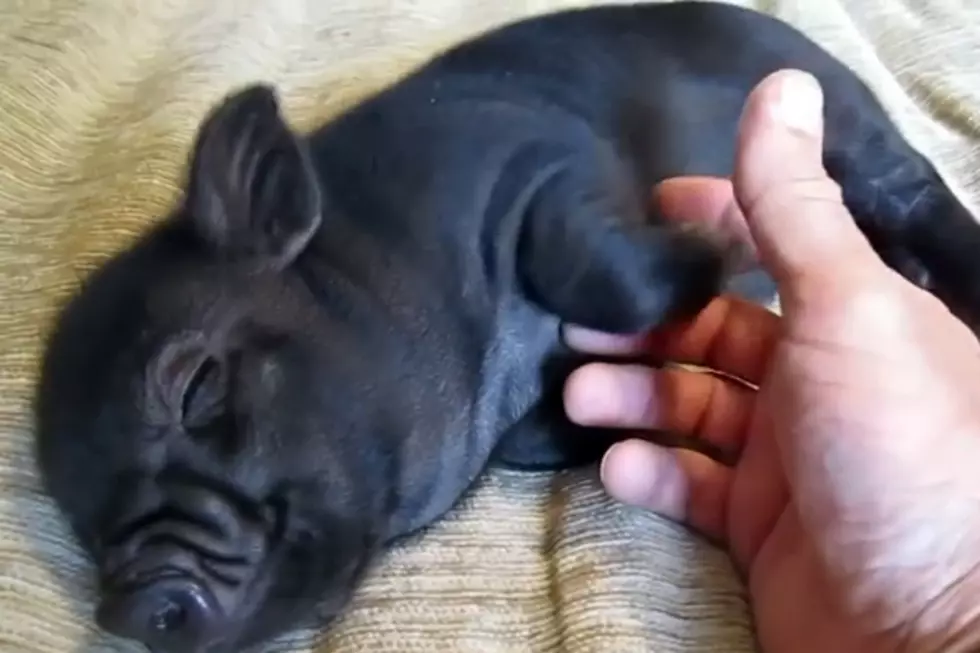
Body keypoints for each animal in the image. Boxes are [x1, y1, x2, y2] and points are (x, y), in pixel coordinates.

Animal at [34, 1, 980, 652]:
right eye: (78, 517)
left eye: (195, 385)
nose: (121, 606)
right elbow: (539, 431)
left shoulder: (534, 163)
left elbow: (594, 267)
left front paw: (719, 240)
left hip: (854, 132)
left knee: (919, 188)